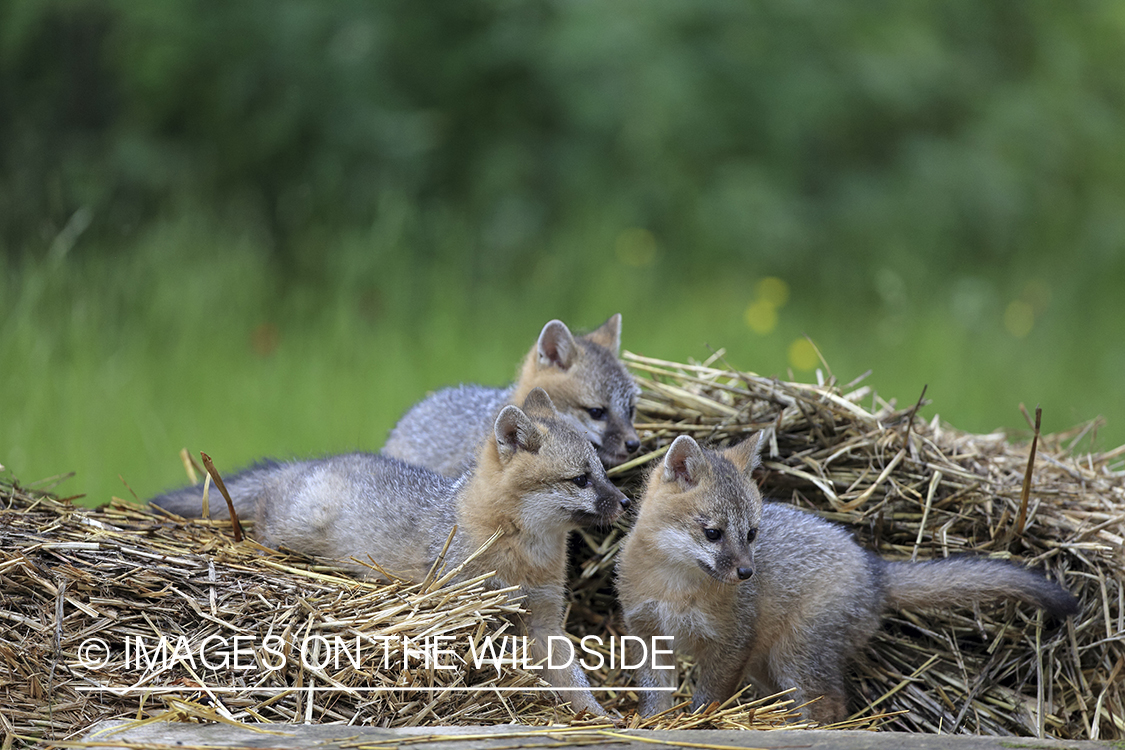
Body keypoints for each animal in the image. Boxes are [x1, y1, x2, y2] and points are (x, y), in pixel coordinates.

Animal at [150, 388, 630, 716]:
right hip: (291, 531)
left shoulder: (546, 621)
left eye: (603, 472)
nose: (626, 502)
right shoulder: (473, 609)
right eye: (581, 479)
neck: (524, 554)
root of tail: (302, 465)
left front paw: (599, 717)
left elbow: (574, 679)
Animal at [616, 434, 1080, 724]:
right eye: (713, 533)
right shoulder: (648, 633)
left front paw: (695, 724)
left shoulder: (732, 642)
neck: (674, 586)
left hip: (794, 658)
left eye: (751, 533)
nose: (747, 572)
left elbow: (708, 697)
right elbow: (655, 696)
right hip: (769, 667)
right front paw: (653, 725)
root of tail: (874, 567)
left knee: (832, 708)